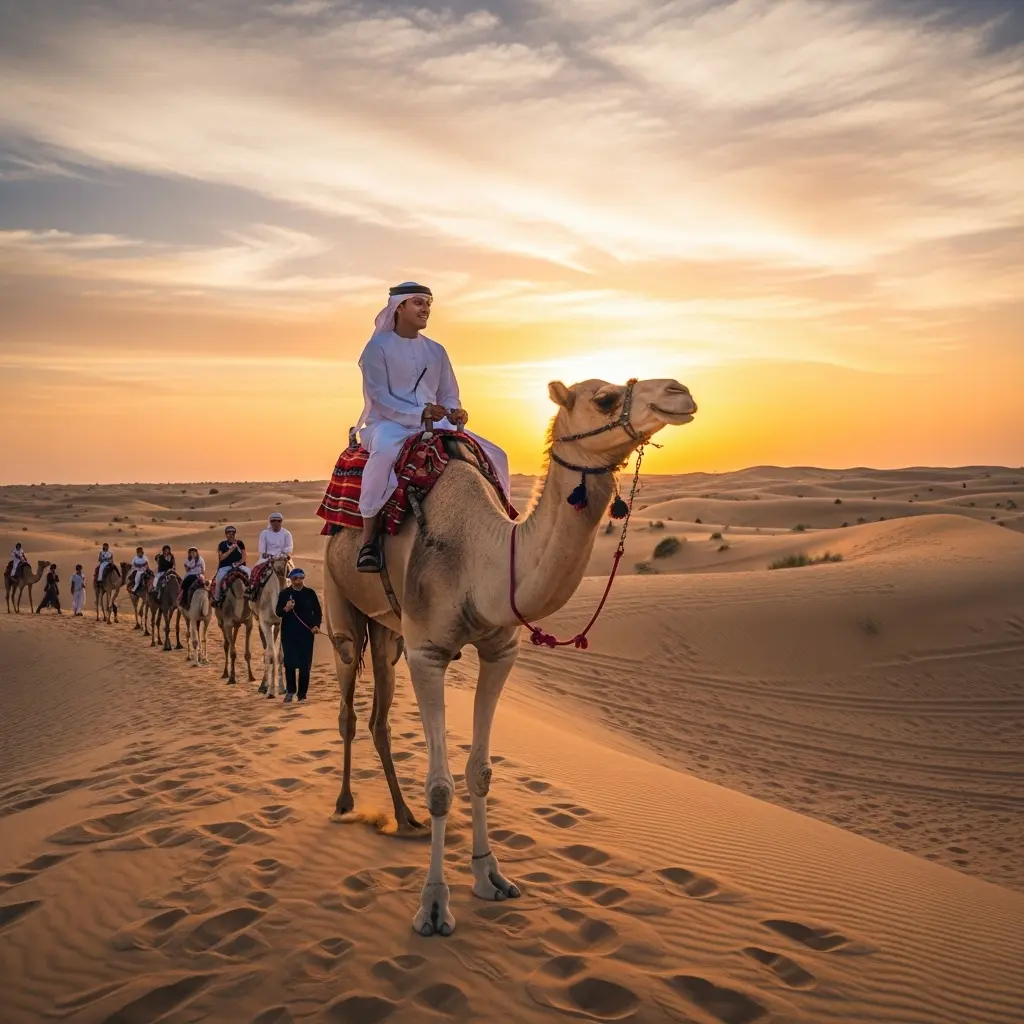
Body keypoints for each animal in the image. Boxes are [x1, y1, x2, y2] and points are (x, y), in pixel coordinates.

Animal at [253, 556, 292, 699]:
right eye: (274, 567)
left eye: (288, 568)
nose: (282, 574)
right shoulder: (265, 622)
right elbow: (271, 653)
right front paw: (270, 691)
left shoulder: (282, 624)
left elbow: (280, 654)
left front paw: (282, 688)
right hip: (259, 620)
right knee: (266, 649)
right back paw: (263, 686)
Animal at [323, 376, 697, 936]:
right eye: (605, 397)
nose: (680, 391)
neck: (481, 556)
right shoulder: (428, 652)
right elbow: (441, 787)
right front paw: (434, 906)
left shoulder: (501, 650)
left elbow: (480, 772)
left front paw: (490, 877)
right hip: (340, 605)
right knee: (348, 706)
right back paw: (346, 804)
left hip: (388, 634)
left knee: (378, 719)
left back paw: (404, 817)